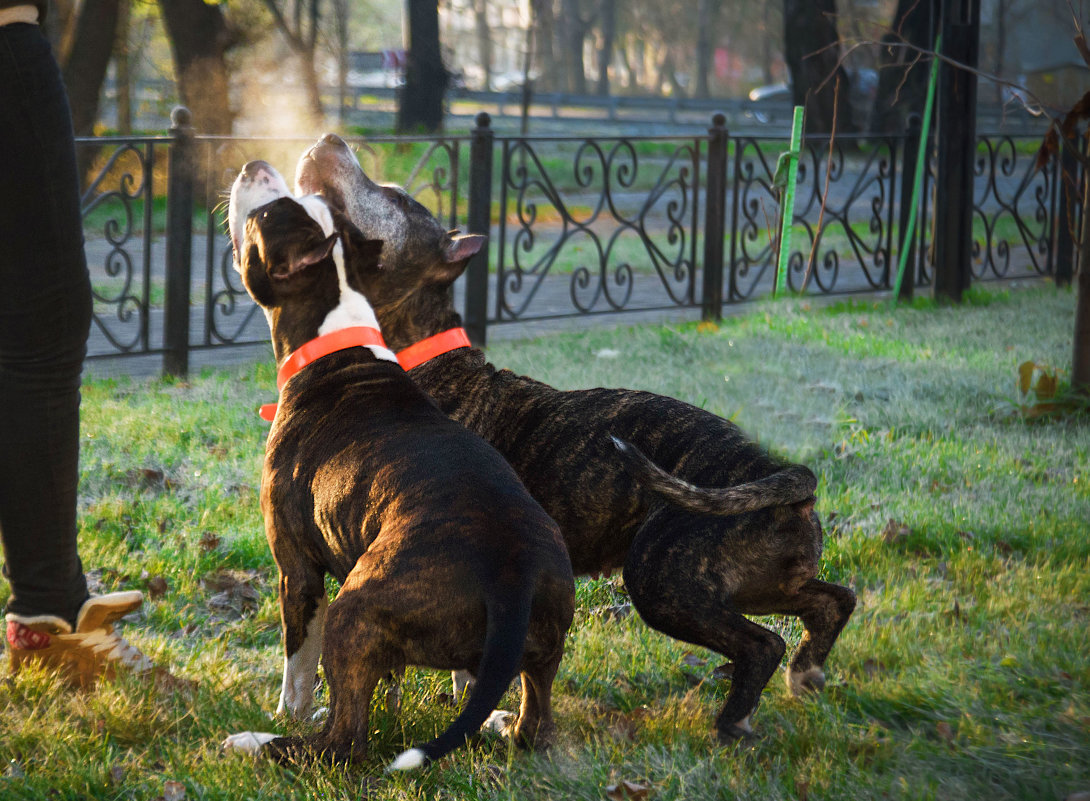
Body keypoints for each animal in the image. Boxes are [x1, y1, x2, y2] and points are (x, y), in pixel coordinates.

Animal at [222, 163, 579, 771]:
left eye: (266, 215)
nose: (255, 167)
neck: (338, 336)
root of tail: (515, 574)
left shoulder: (297, 571)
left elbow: (298, 666)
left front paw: (287, 714)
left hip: (354, 609)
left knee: (343, 744)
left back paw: (259, 743)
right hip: (542, 645)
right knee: (535, 721)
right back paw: (502, 724)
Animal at [298, 134, 858, 741]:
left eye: (396, 199)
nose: (331, 139)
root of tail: (779, 472)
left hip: (664, 578)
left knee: (762, 643)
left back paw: (732, 722)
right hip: (756, 580)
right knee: (832, 600)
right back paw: (805, 675)